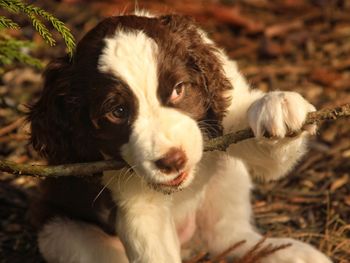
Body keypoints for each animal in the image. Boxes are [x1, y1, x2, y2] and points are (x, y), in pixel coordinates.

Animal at [28, 12, 332, 263]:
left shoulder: (226, 115)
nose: (173, 161)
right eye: (118, 111)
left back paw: (291, 253)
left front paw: (278, 106)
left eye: (178, 89)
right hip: (59, 231)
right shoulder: (139, 209)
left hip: (227, 179)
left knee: (229, 236)